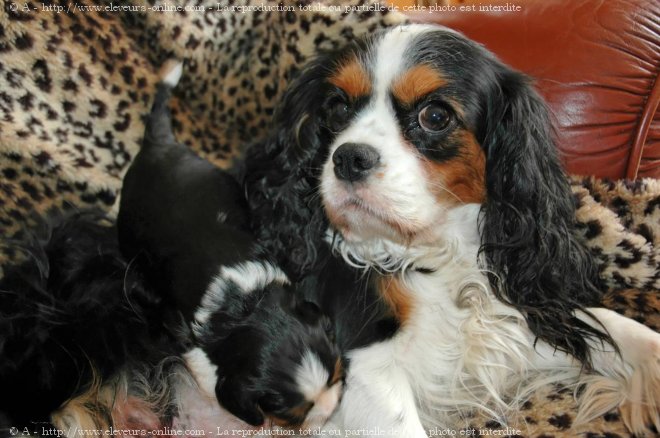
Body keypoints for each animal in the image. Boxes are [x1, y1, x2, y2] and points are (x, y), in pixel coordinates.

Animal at [118, 63, 342, 430]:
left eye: (337, 376)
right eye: (294, 415)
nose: (329, 412)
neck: (249, 301)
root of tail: (157, 145)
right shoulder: (187, 333)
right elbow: (204, 367)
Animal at [245, 24, 660, 438]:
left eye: (435, 116)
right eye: (338, 107)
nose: (348, 157)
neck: (438, 250)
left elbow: (609, 323)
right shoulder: (366, 367)